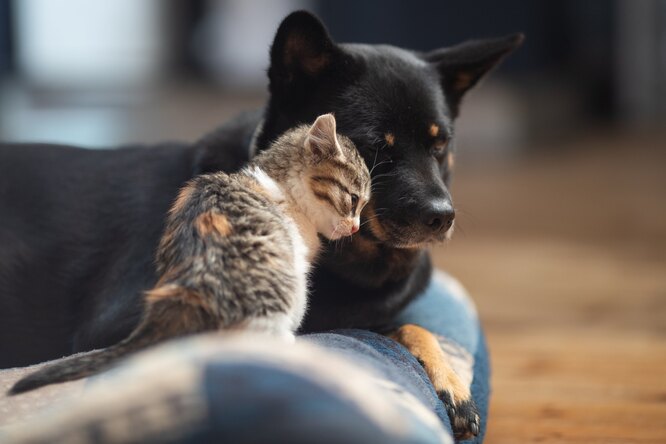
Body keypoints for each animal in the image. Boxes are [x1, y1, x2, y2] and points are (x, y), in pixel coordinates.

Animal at [9, 112, 368, 394]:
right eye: (353, 199)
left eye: (364, 205)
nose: (354, 228)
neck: (280, 183)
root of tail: (189, 291)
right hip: (286, 294)